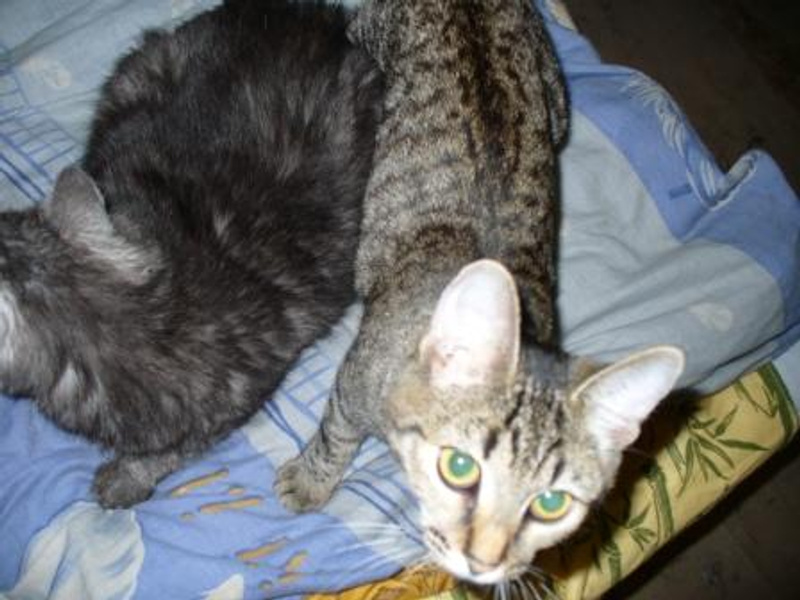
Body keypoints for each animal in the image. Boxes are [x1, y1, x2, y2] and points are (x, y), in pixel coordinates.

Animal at [276, 0, 684, 587]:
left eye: (550, 506)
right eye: (462, 468)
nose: (487, 560)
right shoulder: (353, 386)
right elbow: (335, 435)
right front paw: (311, 481)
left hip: (553, 99)